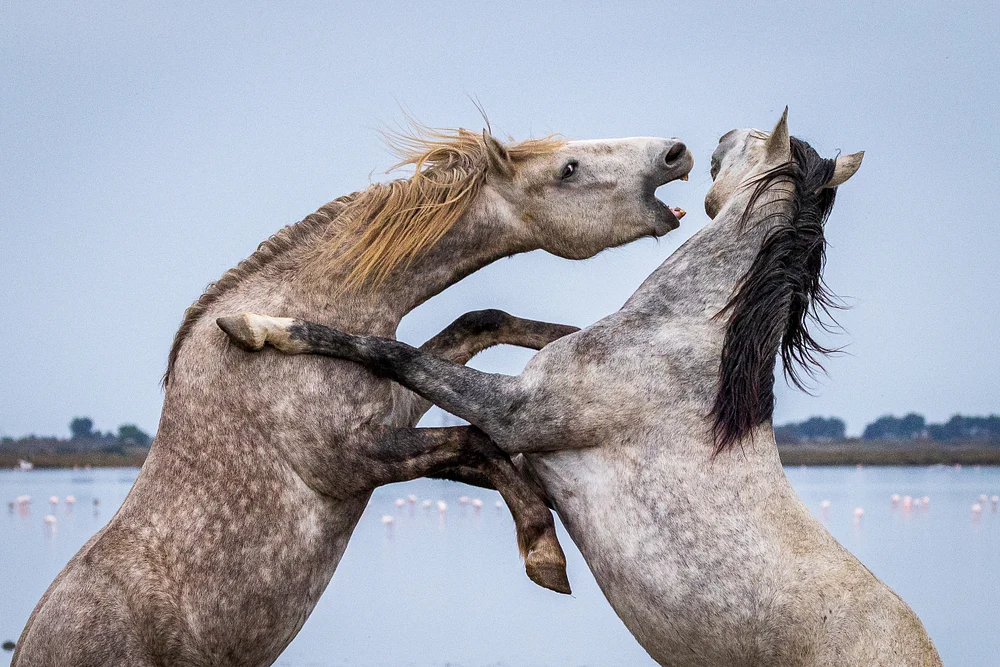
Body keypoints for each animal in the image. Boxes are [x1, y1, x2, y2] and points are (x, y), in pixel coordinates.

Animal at [12, 125, 692, 667]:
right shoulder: (348, 460)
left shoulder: (391, 416)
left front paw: (570, 340)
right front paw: (543, 552)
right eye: (568, 169)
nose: (675, 152)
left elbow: (474, 337)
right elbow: (476, 442)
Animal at [225, 111, 942, 666]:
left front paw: (259, 326)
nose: (707, 137)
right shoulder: (522, 441)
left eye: (761, 135)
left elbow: (391, 352)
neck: (685, 334)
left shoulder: (515, 414)